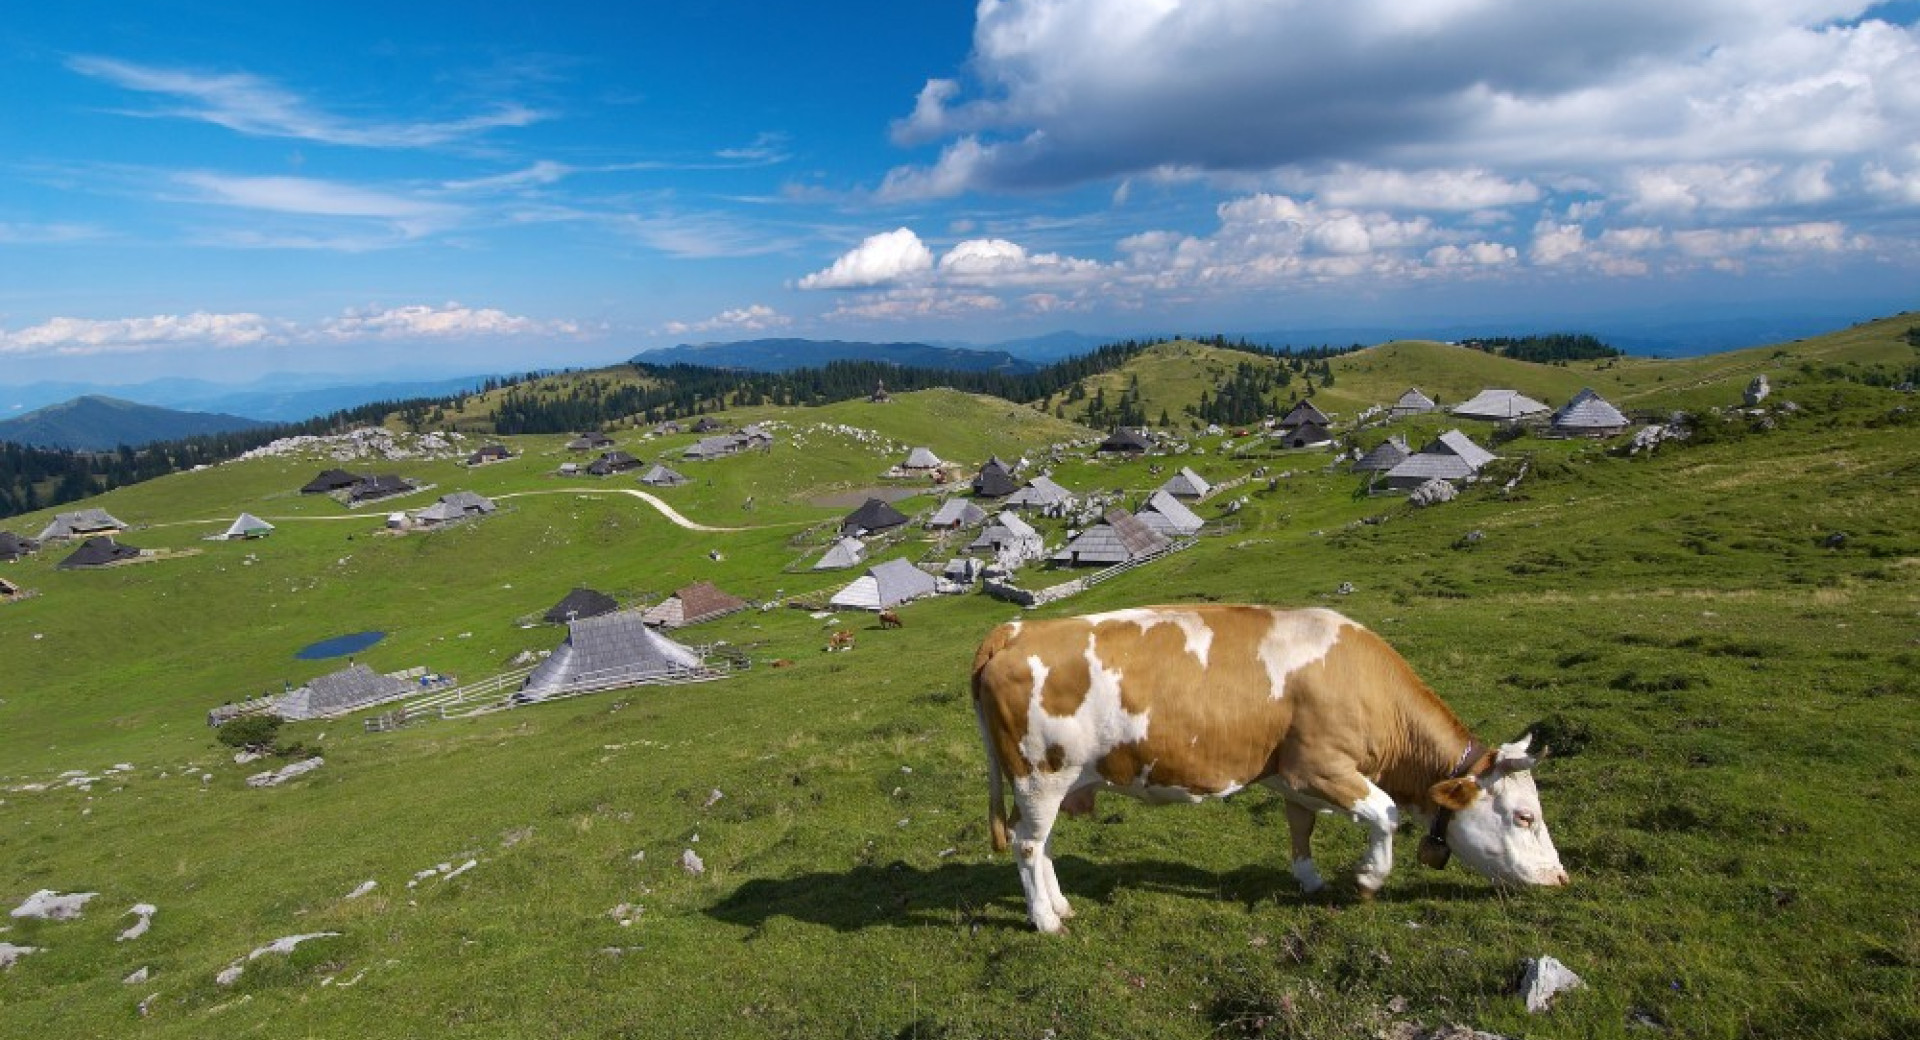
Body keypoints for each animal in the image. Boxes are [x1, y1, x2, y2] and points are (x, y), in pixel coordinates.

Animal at [975, 606, 1559, 932]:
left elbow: (1301, 826)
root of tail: (1017, 629)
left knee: (1041, 843)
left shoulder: (1292, 779)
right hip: (1039, 775)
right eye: (1524, 816)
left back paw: (1061, 904)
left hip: (1054, 783)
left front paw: (1310, 880)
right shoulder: (1318, 767)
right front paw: (1368, 878)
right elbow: (1385, 813)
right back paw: (1045, 920)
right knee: (1027, 846)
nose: (1560, 877)